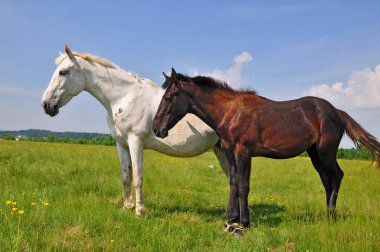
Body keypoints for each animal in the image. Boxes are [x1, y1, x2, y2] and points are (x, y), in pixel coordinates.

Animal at [41, 44, 229, 215]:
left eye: (63, 72)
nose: (46, 105)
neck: (125, 97)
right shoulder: (121, 144)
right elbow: (126, 177)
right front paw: (127, 206)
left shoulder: (135, 142)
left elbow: (138, 177)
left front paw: (140, 211)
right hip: (220, 150)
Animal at [152, 68, 380, 235]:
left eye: (170, 96)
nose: (156, 128)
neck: (231, 112)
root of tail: (337, 112)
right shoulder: (230, 152)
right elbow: (233, 182)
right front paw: (231, 220)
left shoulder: (243, 153)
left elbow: (243, 185)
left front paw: (243, 223)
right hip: (315, 154)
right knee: (327, 179)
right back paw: (327, 214)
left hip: (326, 152)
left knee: (337, 176)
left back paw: (331, 215)